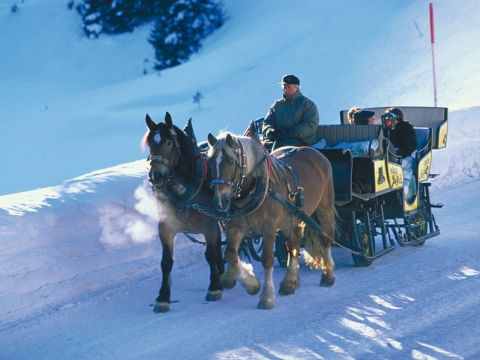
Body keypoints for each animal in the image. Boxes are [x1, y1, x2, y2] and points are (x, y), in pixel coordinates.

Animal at [142, 112, 225, 312]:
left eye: (169, 142)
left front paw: (214, 287)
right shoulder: (166, 227)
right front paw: (163, 297)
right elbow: (166, 262)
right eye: (150, 143)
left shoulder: (209, 224)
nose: (156, 176)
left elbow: (210, 255)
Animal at [207, 133, 338, 310]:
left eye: (230, 161)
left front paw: (267, 297)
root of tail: (316, 153)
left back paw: (328, 275)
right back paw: (290, 282)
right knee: (293, 247)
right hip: (293, 219)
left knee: (325, 238)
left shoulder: (269, 228)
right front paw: (251, 284)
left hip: (324, 208)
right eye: (210, 162)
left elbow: (267, 259)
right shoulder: (236, 227)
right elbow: (230, 254)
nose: (220, 201)